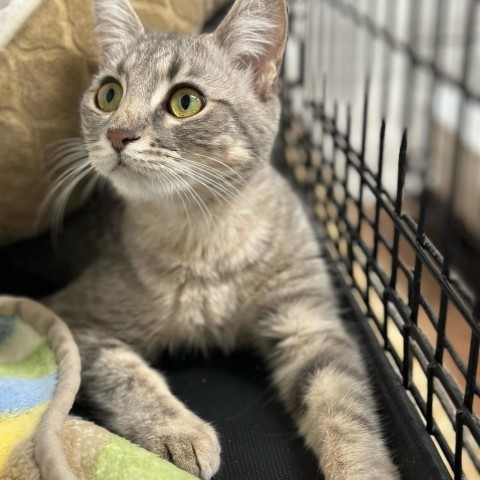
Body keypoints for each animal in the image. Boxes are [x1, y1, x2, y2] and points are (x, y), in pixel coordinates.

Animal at [45, 0, 400, 480]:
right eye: (109, 94)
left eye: (185, 101)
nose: (117, 134)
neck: (203, 236)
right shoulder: (74, 320)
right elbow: (128, 376)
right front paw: (180, 430)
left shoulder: (309, 324)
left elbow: (343, 409)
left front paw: (362, 468)